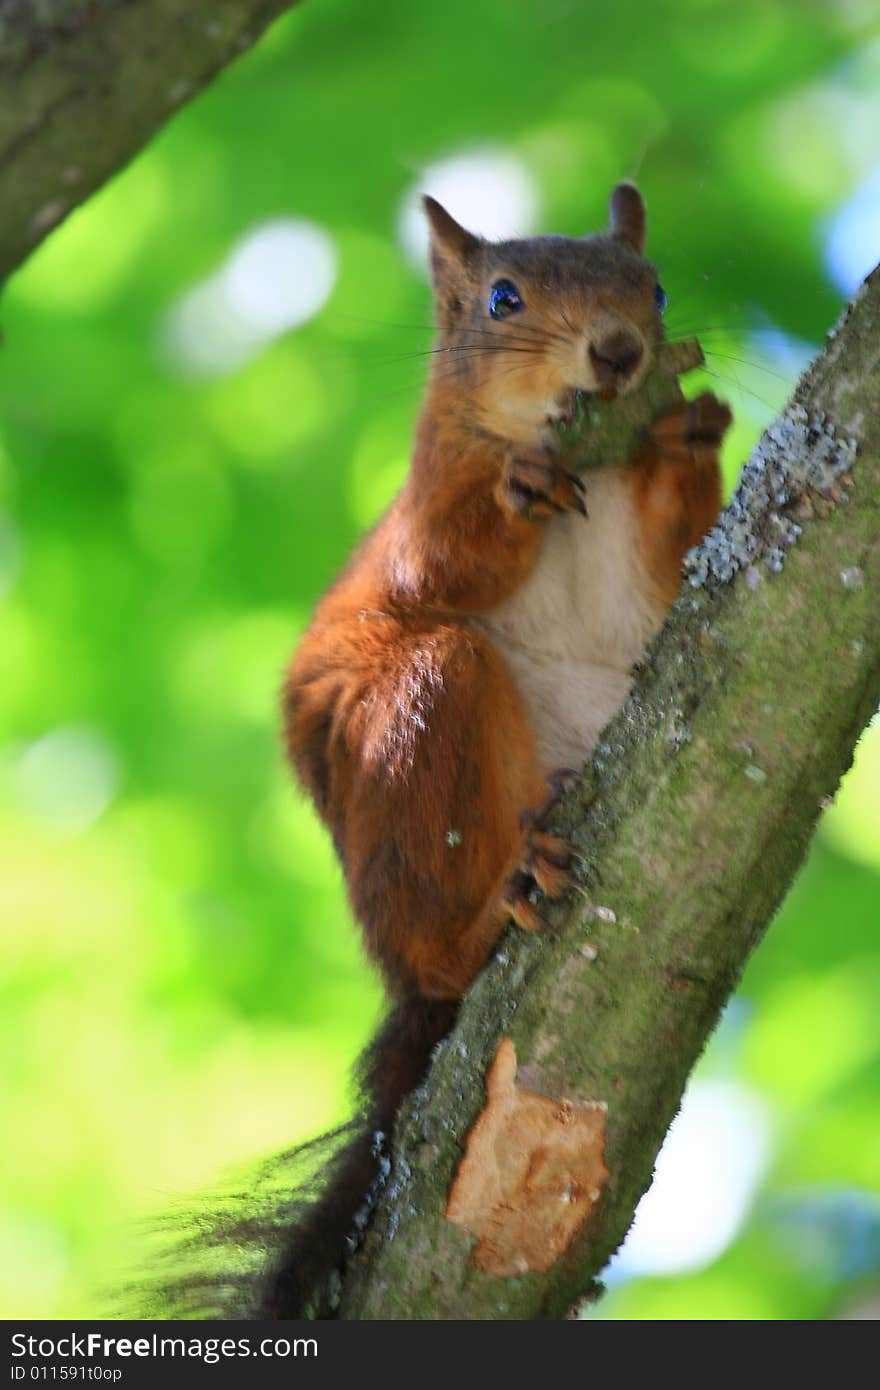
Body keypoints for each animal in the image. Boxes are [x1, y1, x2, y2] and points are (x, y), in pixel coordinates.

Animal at [264, 182, 728, 1312]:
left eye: (653, 288)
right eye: (503, 298)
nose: (617, 353)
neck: (584, 456)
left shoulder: (661, 563)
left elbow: (680, 552)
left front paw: (692, 428)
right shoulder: (428, 497)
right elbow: (446, 557)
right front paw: (519, 481)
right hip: (423, 720)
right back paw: (493, 905)